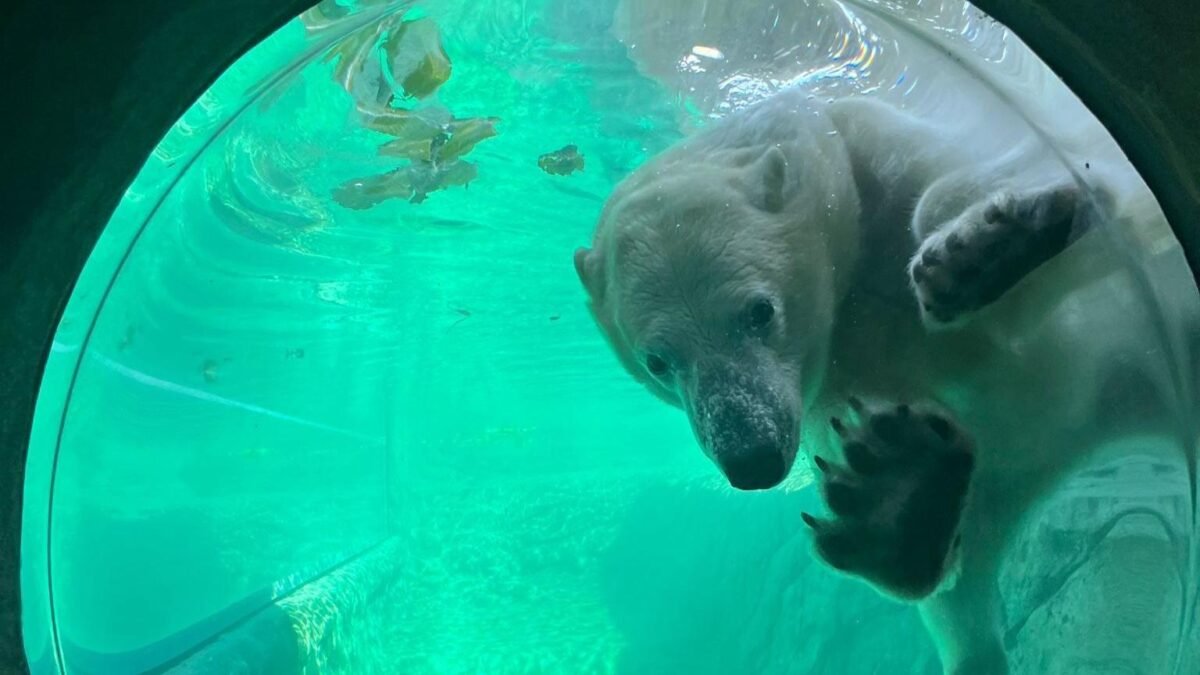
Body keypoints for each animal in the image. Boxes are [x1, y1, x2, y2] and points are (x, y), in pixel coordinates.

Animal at [572, 86, 1193, 674]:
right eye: (657, 360)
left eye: (760, 312)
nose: (751, 459)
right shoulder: (828, 382)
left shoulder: (869, 145)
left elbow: (992, 191)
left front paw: (984, 252)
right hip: (994, 489)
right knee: (955, 594)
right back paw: (901, 503)